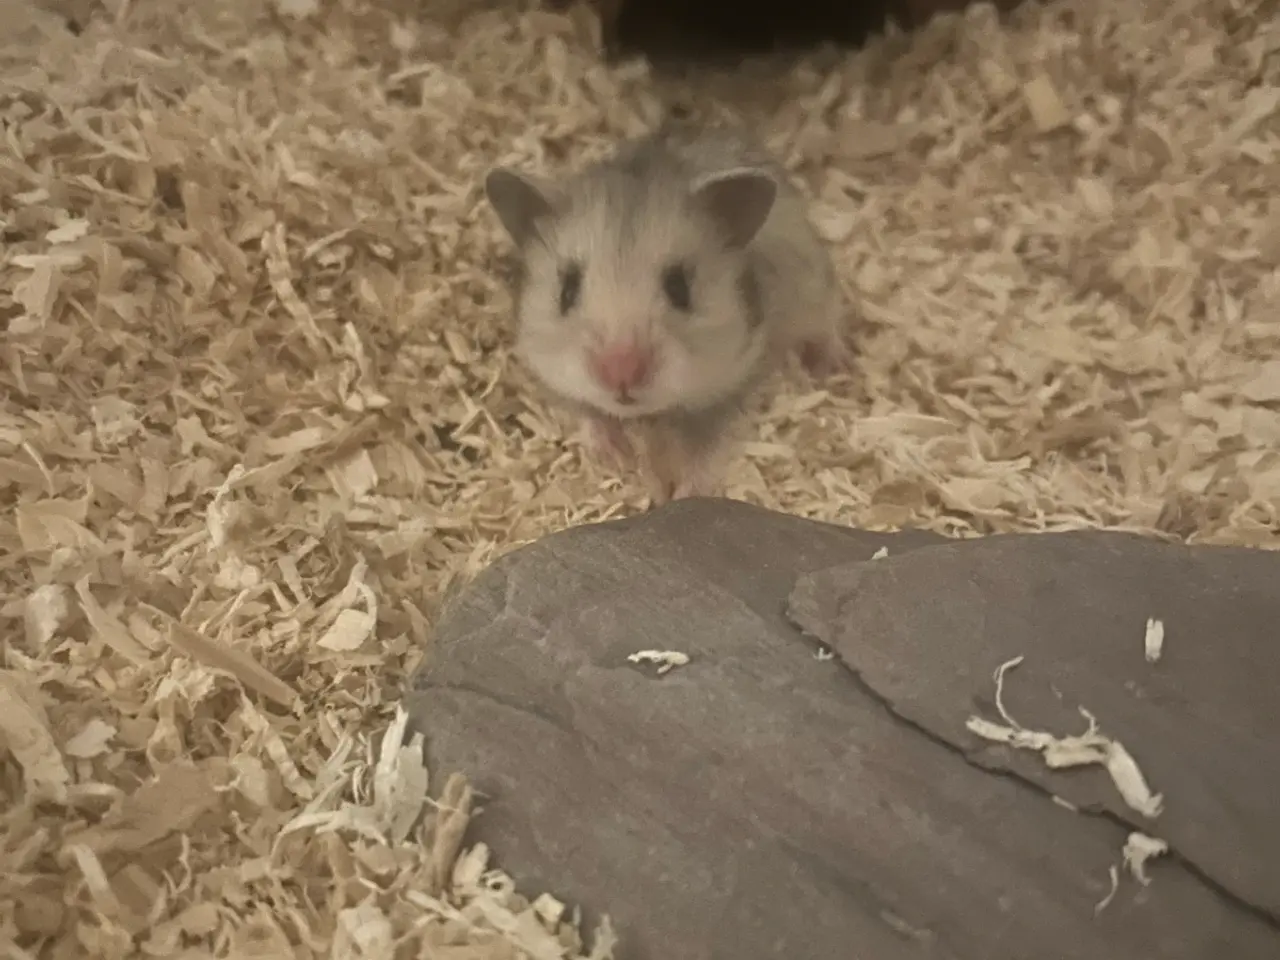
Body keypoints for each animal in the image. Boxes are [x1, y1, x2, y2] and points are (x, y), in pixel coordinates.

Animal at [483, 121, 848, 503]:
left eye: (679, 288)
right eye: (567, 290)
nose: (621, 374)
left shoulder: (740, 383)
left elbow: (708, 449)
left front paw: (683, 493)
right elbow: (589, 412)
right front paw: (618, 458)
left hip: (815, 281)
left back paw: (832, 366)